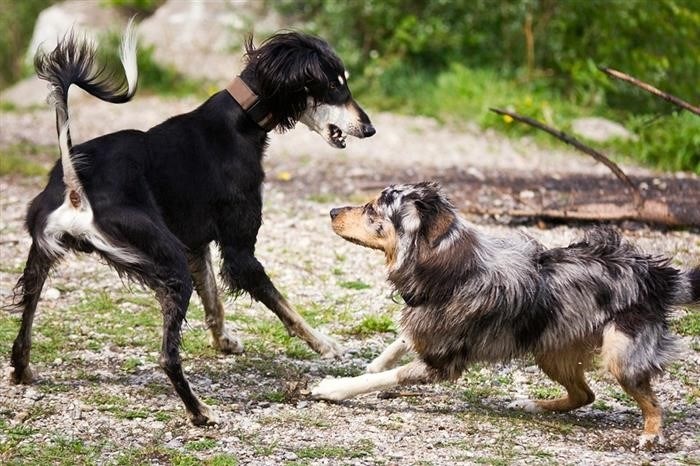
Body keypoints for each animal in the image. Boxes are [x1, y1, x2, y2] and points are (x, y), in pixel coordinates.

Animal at [314, 181, 700, 448]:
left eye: (373, 209)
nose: (331, 211)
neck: (448, 268)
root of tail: (655, 274)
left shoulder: (441, 363)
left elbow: (384, 377)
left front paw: (334, 388)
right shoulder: (429, 323)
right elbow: (402, 339)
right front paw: (372, 362)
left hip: (620, 354)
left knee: (650, 401)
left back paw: (650, 435)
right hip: (550, 349)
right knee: (585, 395)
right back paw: (533, 405)